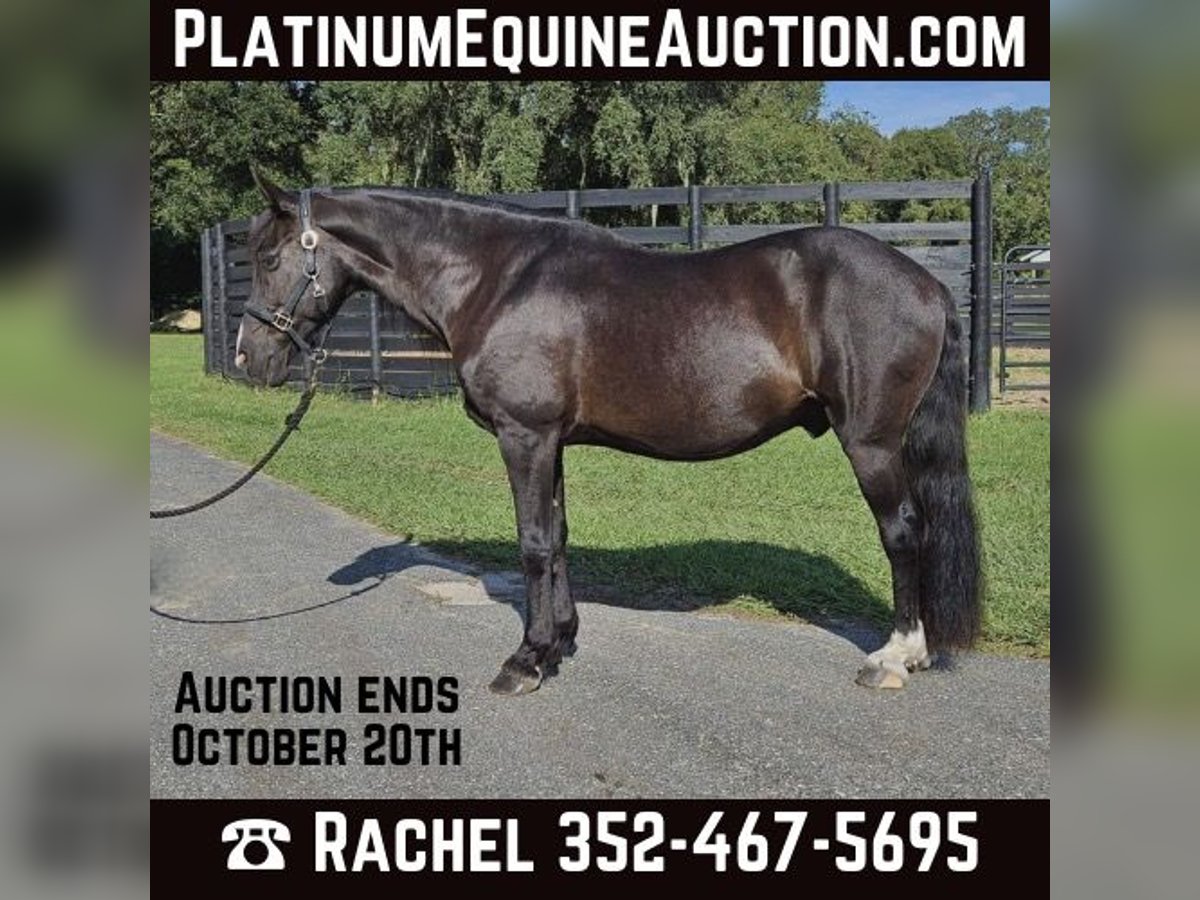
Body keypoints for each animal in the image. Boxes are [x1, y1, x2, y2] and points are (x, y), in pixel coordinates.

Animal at [235, 171, 982, 695]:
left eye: (269, 258)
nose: (248, 358)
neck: (497, 279)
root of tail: (926, 284)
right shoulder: (551, 441)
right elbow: (558, 537)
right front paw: (558, 643)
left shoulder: (524, 435)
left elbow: (533, 544)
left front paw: (524, 661)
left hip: (872, 443)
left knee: (903, 531)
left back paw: (896, 656)